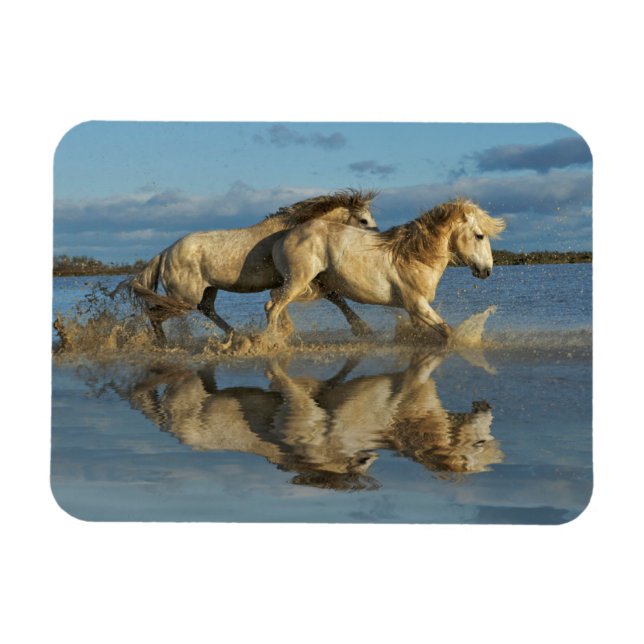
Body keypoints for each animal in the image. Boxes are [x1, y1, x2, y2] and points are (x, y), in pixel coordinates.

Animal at [114, 189, 379, 345]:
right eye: (363, 220)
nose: (377, 242)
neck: (292, 230)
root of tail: (165, 252)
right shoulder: (304, 278)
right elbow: (333, 297)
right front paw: (363, 329)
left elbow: (328, 299)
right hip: (183, 298)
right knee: (154, 314)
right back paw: (159, 343)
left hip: (206, 291)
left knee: (207, 310)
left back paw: (236, 335)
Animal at [266, 198, 506, 342]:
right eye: (479, 236)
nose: (487, 271)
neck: (413, 256)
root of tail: (282, 238)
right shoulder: (416, 304)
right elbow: (449, 332)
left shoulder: (414, 311)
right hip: (298, 281)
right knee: (273, 307)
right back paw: (270, 342)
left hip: (310, 286)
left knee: (274, 300)